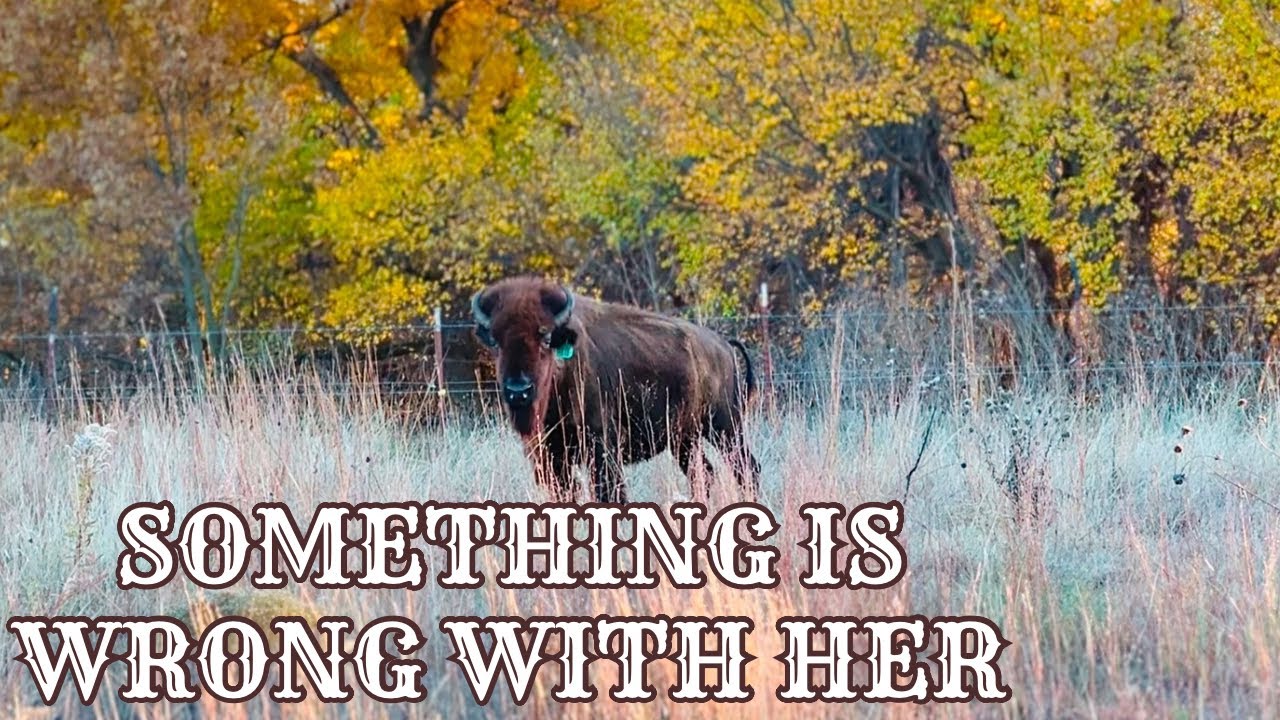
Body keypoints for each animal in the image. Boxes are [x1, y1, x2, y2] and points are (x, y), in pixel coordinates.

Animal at [471, 276, 760, 504]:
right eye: (495, 341)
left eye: (545, 338)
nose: (518, 390)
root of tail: (723, 344)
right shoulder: (548, 455)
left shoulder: (600, 444)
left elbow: (609, 493)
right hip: (685, 438)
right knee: (704, 473)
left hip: (725, 426)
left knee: (746, 468)